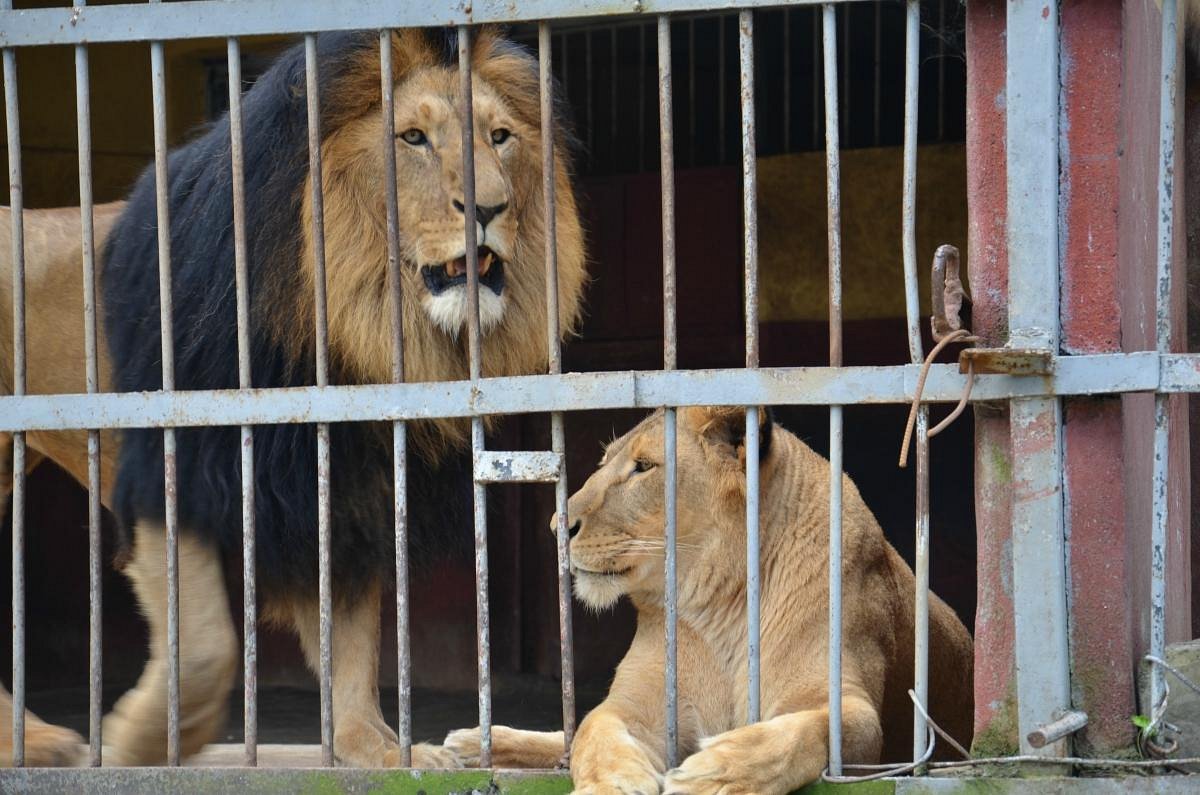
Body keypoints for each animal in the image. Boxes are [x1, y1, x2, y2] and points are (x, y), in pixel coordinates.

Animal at [0, 28, 585, 768]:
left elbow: (351, 639)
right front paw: (140, 741)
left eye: (500, 136)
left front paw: (377, 748)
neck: (351, 325)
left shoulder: (340, 482)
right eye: (413, 138)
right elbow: (207, 645)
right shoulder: (177, 466)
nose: (488, 208)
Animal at [446, 408, 969, 792]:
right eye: (603, 463)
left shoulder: (849, 707)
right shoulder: (639, 706)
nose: (558, 527)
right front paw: (613, 782)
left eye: (643, 467)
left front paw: (711, 774)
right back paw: (467, 744)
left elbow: (807, 729)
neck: (720, 607)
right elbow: (595, 728)